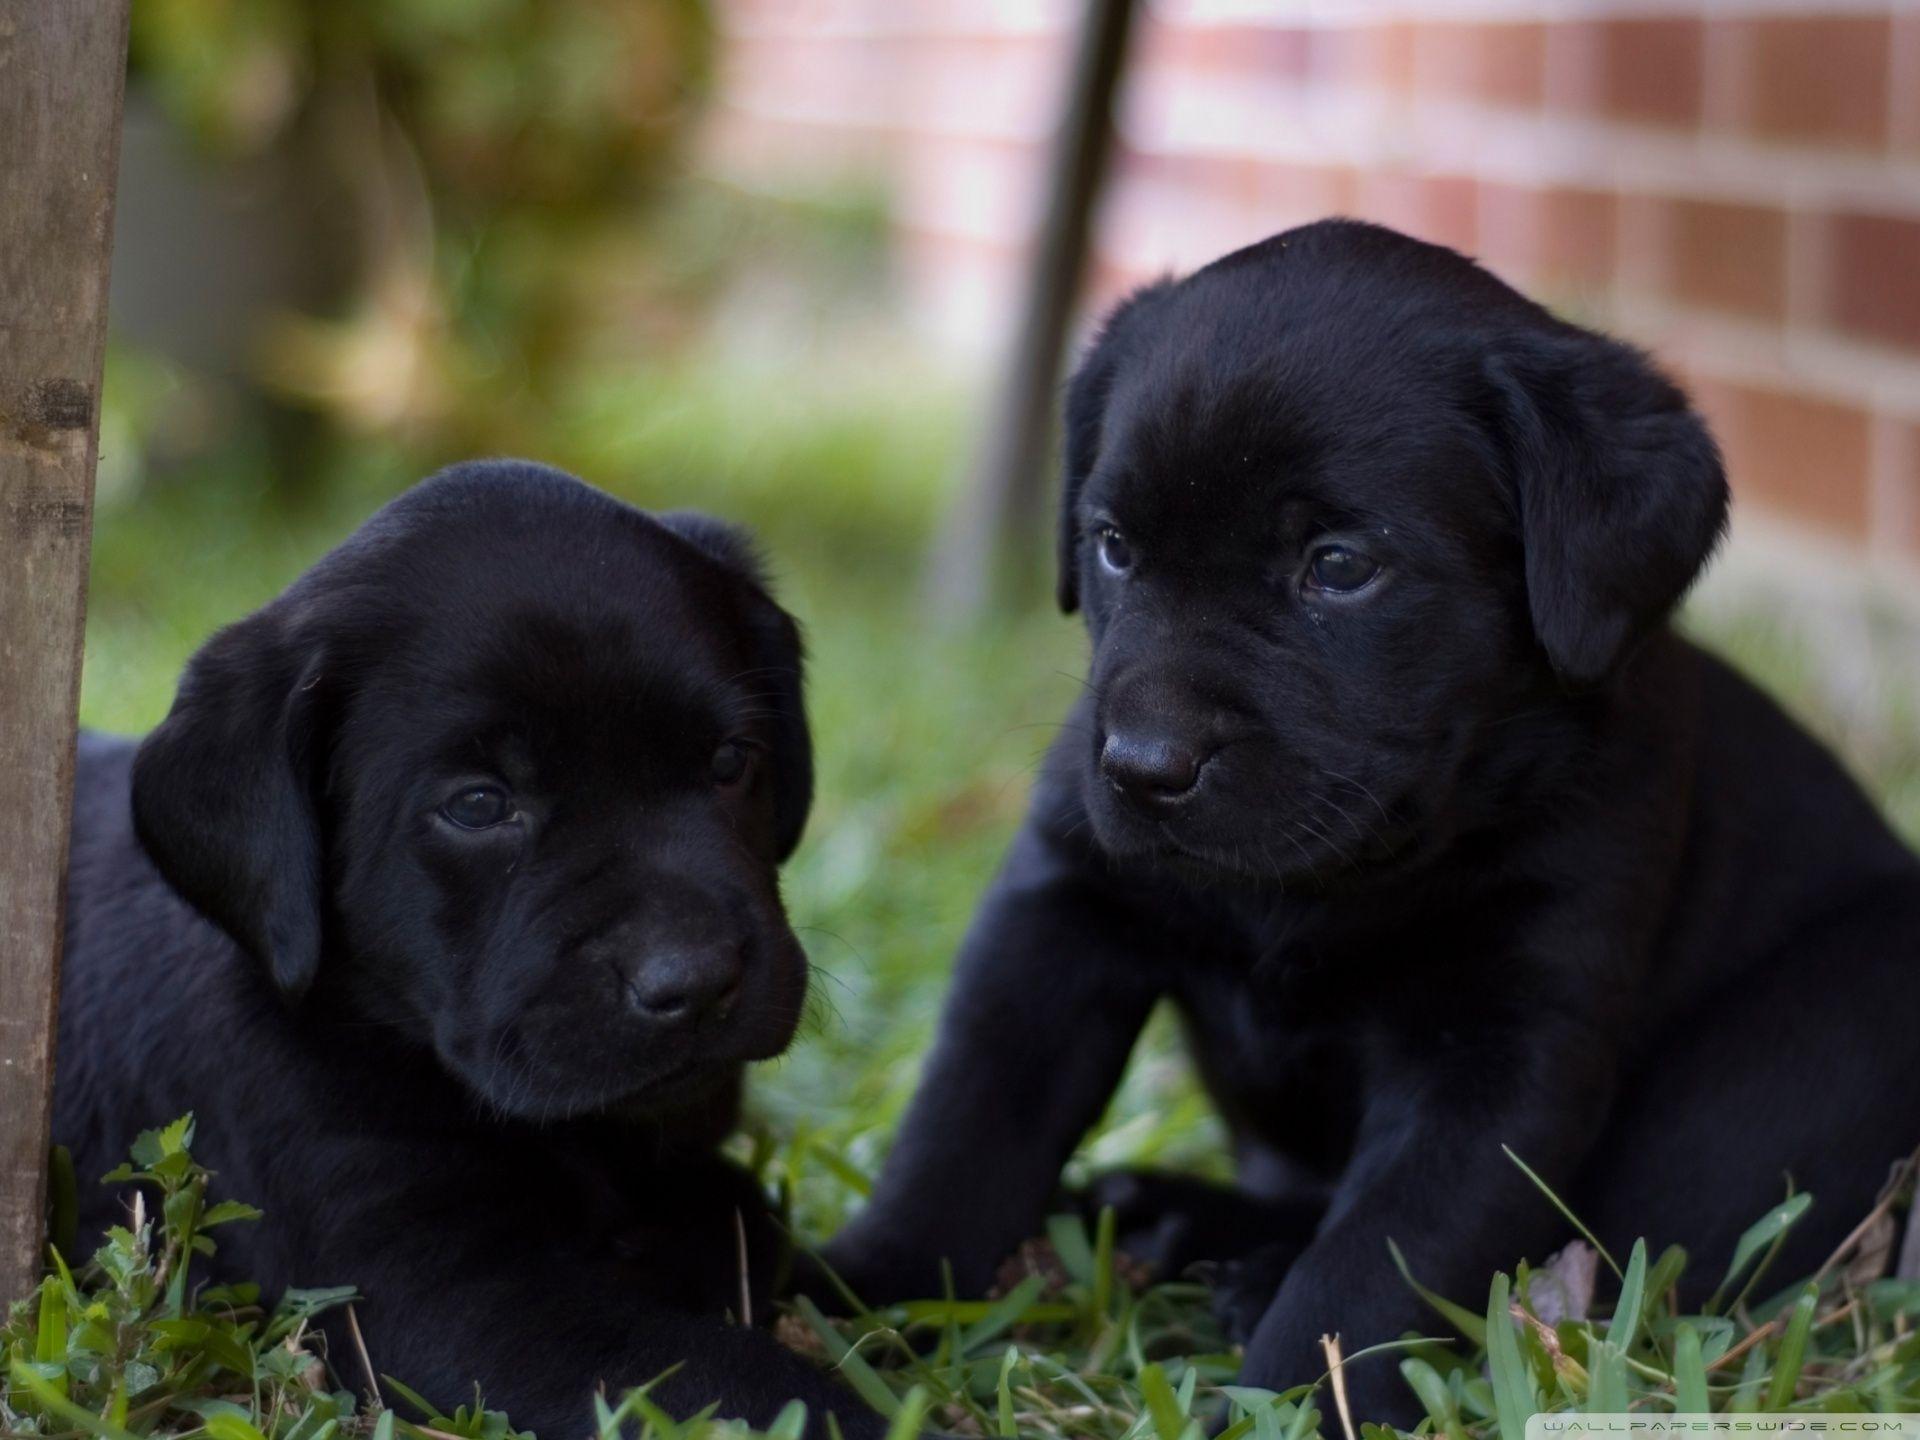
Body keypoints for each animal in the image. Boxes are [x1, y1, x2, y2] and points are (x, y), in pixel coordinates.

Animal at [60, 462, 883, 1440]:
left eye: (730, 760)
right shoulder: (430, 1293)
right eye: (480, 806)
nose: (696, 981)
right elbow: (722, 1374)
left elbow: (768, 1243)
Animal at [821, 222, 1920, 1420]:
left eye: (1339, 567)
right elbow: (965, 1131)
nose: (1145, 767)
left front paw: (1291, 1405)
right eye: (1112, 545)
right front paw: (846, 1293)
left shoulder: (1499, 1050)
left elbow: (1378, 1259)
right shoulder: (1057, 918)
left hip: (1804, 1053)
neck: (1323, 884)